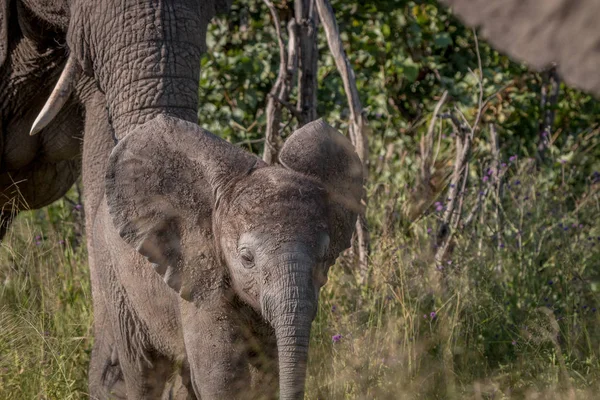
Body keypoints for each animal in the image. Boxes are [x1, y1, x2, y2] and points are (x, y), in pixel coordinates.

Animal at [89, 114, 360, 398]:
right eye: (247, 258)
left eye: (323, 257)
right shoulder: (201, 274)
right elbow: (221, 376)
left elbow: (267, 370)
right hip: (113, 274)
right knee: (143, 371)